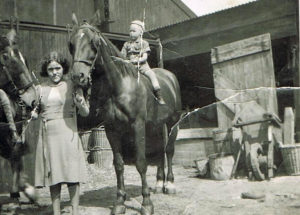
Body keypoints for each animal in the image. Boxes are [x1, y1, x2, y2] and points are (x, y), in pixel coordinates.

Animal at [69, 12, 182, 215]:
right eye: (71, 44)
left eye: (93, 43)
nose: (77, 77)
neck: (120, 86)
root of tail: (170, 76)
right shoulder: (112, 130)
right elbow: (119, 165)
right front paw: (120, 203)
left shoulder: (138, 126)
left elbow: (141, 163)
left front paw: (147, 204)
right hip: (155, 126)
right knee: (160, 150)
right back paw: (159, 182)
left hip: (172, 123)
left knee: (169, 150)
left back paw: (169, 184)